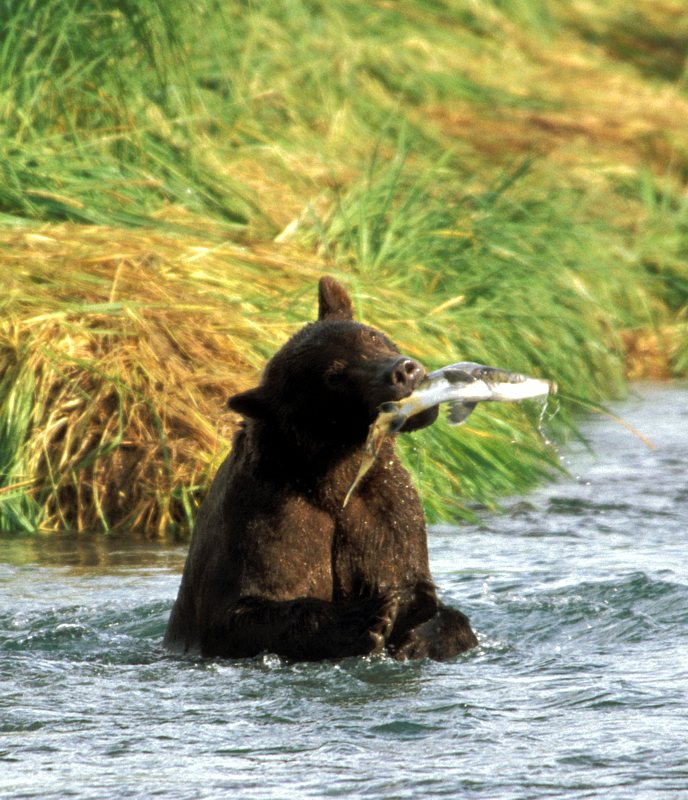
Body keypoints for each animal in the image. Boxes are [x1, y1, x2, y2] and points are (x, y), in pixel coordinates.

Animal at [165, 278, 478, 660]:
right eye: (334, 375)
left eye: (371, 337)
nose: (403, 371)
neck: (333, 472)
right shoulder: (267, 515)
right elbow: (247, 608)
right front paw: (369, 615)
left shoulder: (384, 507)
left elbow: (415, 580)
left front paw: (419, 631)